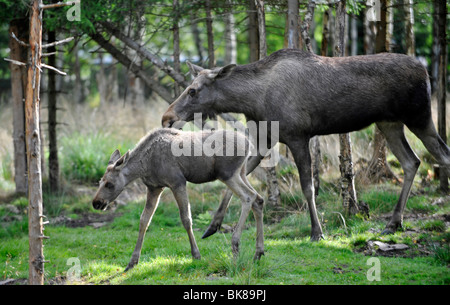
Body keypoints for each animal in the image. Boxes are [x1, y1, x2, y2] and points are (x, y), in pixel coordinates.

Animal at [163, 48, 450, 240]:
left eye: (192, 90)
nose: (167, 118)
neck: (252, 102)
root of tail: (425, 70)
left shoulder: (297, 136)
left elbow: (308, 187)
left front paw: (316, 231)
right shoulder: (265, 140)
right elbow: (237, 178)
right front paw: (213, 226)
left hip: (420, 117)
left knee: (442, 155)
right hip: (389, 123)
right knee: (412, 161)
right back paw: (394, 222)